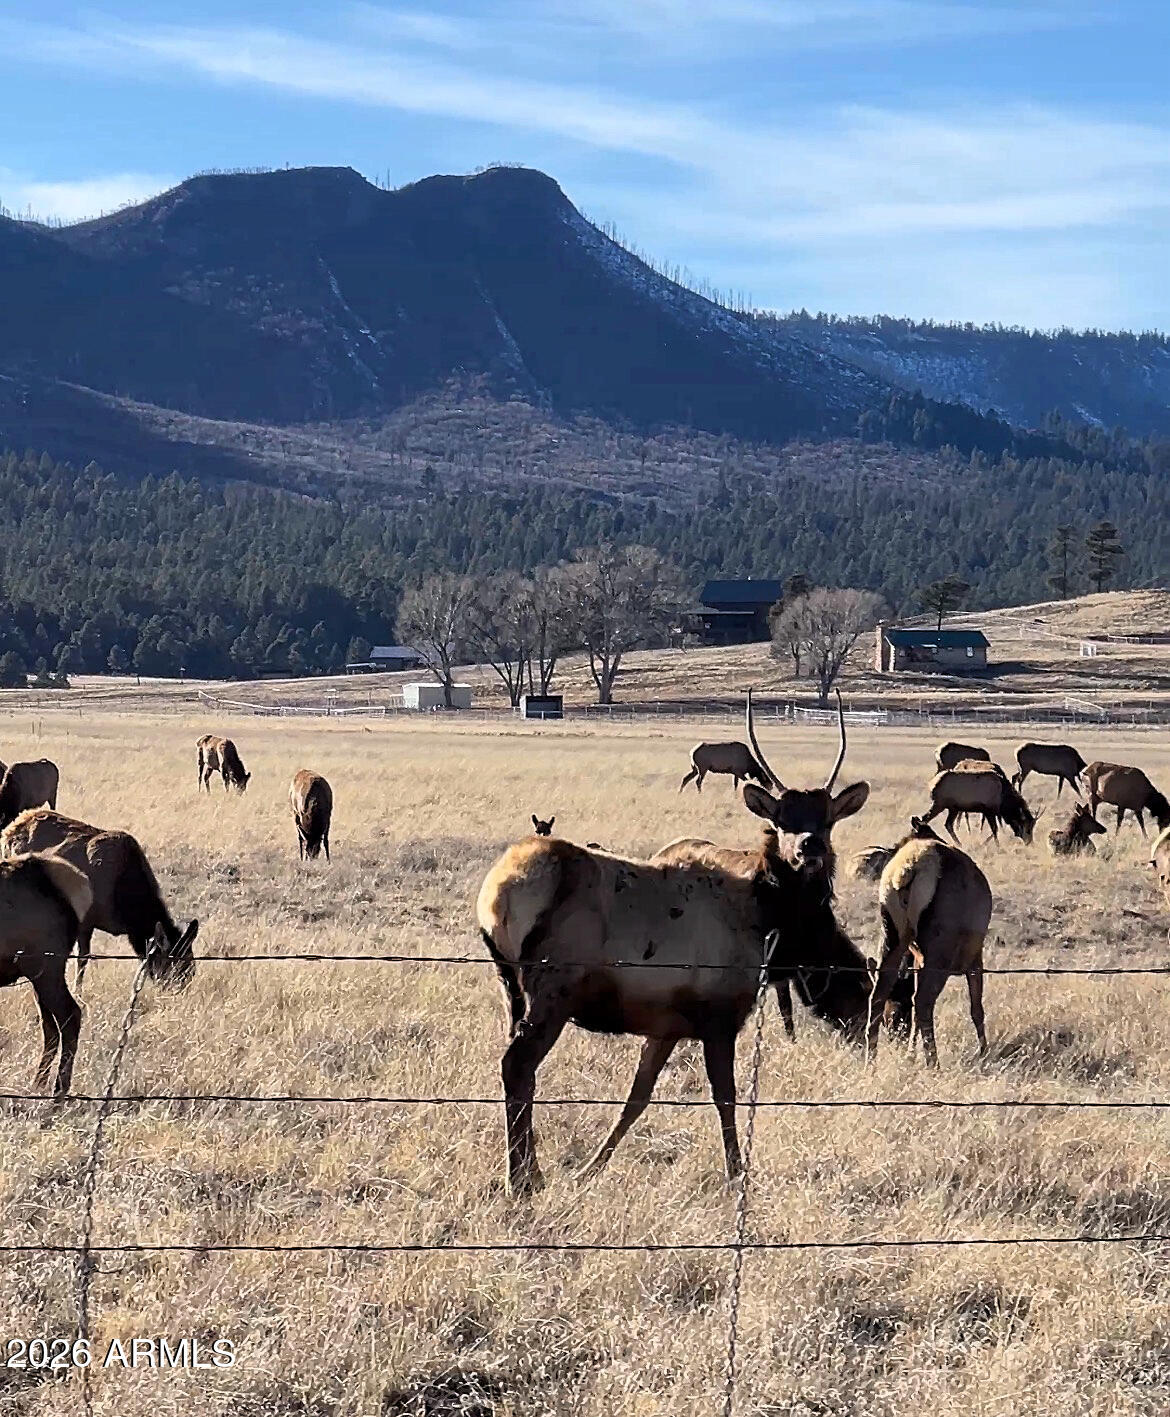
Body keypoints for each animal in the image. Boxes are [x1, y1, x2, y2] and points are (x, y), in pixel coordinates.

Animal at [0, 808, 198, 991]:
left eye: (191, 969)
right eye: (174, 970)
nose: (180, 992)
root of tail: (8, 831)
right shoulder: (85, 921)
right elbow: (82, 959)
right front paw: (77, 991)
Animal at [0, 853, 93, 1095]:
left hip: (46, 967)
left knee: (70, 1015)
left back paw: (59, 1090)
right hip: (38, 974)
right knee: (50, 1025)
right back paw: (39, 1083)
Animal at [476, 690, 871, 1195]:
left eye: (827, 820)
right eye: (780, 820)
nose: (810, 848)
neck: (773, 931)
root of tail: (495, 893)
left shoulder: (665, 1026)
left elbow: (636, 1098)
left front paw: (590, 1169)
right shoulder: (719, 1016)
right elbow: (726, 1099)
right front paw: (738, 1175)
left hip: (510, 986)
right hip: (553, 990)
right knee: (517, 1066)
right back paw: (523, 1179)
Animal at [866, 835, 994, 1068]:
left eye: (896, 1016)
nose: (896, 1038)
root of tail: (906, 870)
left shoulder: (918, 960)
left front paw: (910, 1056)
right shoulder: (974, 959)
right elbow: (976, 1008)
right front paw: (984, 1052)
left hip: (892, 933)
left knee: (878, 996)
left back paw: (870, 1063)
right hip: (939, 950)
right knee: (924, 1001)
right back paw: (934, 1065)